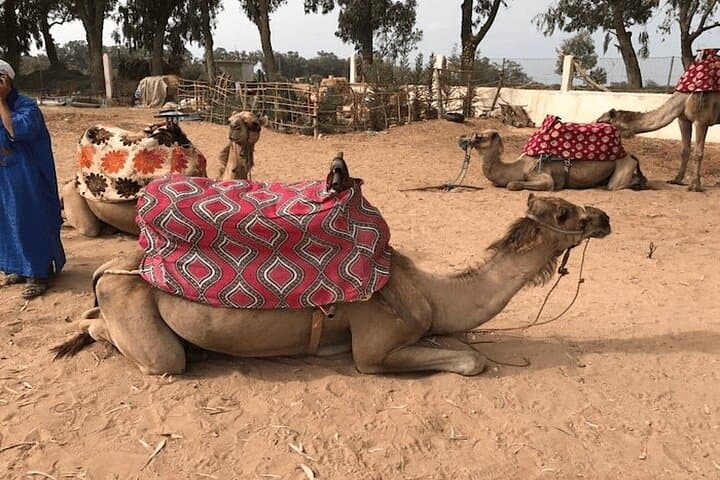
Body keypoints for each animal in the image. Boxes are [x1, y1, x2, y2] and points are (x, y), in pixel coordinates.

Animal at [53, 190, 611, 376]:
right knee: (156, 355)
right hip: (137, 315)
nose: (603, 217)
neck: (432, 293)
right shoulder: (375, 350)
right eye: (565, 212)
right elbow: (472, 361)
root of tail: (111, 267)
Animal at [470, 129, 647, 191]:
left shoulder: (540, 175)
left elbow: (512, 184)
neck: (517, 168)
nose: (469, 140)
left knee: (614, 185)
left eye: (481, 137)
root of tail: (630, 155)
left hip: (622, 168)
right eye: (477, 133)